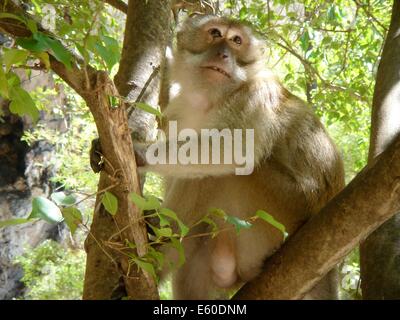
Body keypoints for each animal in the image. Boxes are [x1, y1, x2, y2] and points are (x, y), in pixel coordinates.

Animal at [92, 14, 346, 300]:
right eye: (215, 33)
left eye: (236, 41)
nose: (223, 53)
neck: (212, 98)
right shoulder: (179, 110)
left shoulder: (256, 95)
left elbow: (234, 149)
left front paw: (139, 152)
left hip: (283, 213)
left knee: (221, 177)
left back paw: (153, 261)